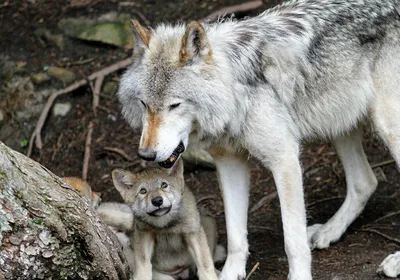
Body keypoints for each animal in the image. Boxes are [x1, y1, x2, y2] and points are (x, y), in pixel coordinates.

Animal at [117, 0, 400, 278]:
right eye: (144, 104)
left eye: (174, 105)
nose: (146, 154)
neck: (235, 90)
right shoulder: (229, 162)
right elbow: (235, 235)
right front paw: (230, 273)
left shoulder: (285, 159)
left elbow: (293, 241)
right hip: (339, 123)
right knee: (365, 182)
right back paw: (329, 231)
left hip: (388, 127)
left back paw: (395, 261)